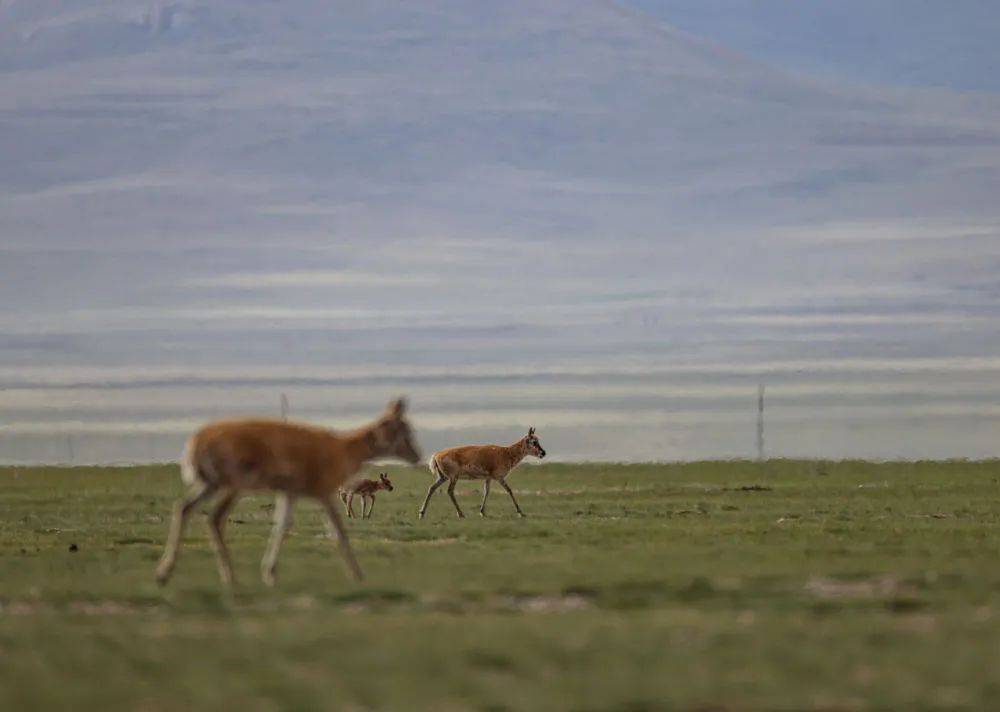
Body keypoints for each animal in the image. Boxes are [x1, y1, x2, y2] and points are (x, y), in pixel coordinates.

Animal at [154, 398, 420, 588]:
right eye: (405, 429)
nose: (417, 455)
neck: (342, 449)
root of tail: (196, 442)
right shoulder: (323, 493)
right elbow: (338, 532)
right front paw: (358, 574)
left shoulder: (290, 493)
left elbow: (282, 525)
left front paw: (270, 573)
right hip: (233, 485)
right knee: (215, 517)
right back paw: (229, 577)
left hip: (211, 484)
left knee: (184, 508)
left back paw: (164, 574)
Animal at [420, 426, 552, 520]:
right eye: (533, 441)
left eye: (538, 440)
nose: (543, 453)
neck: (506, 452)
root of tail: (436, 455)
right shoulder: (499, 478)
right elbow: (509, 490)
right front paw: (521, 512)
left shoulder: (488, 478)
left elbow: (486, 492)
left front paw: (482, 512)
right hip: (453, 478)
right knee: (449, 491)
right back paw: (461, 514)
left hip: (443, 477)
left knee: (432, 488)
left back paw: (422, 513)